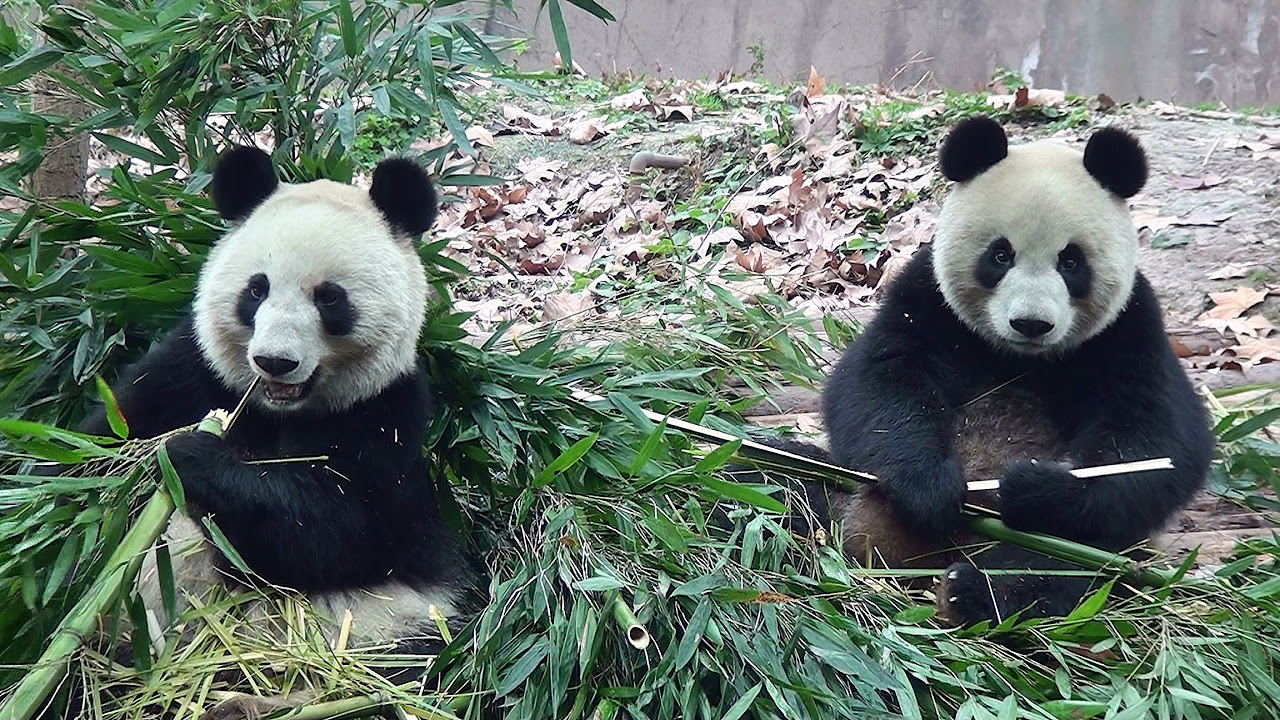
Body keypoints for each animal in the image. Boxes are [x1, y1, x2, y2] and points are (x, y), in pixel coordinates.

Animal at [67, 146, 480, 716]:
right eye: (256, 289)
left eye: (330, 298)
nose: (275, 362)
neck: (279, 411)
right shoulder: (190, 371)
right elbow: (95, 449)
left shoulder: (387, 415)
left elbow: (338, 531)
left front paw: (192, 456)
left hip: (394, 622)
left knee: (421, 665)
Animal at [768, 115, 1214, 626]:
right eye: (1001, 255)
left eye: (1071, 261)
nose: (1031, 323)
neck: (1019, 358)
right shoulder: (929, 299)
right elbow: (879, 380)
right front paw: (929, 487)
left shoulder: (1128, 329)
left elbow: (1155, 442)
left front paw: (1031, 485)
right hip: (836, 485)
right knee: (773, 475)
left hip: (1086, 549)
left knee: (1068, 564)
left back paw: (975, 591)